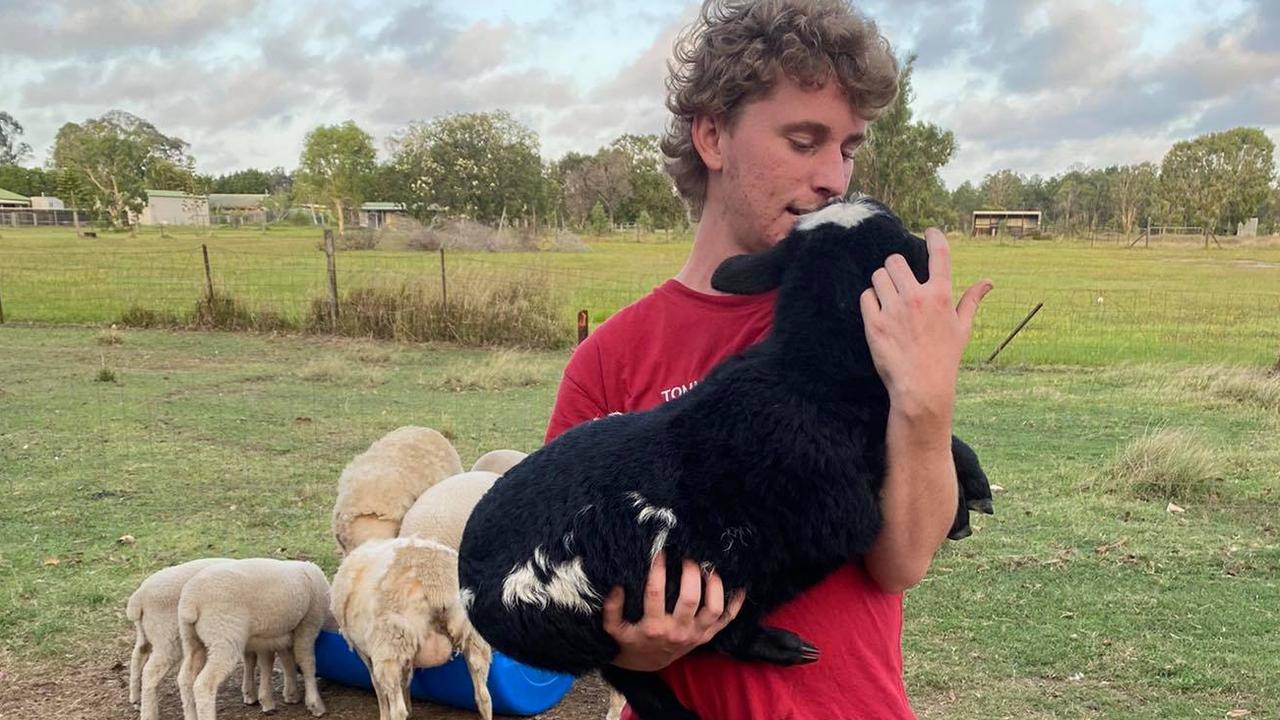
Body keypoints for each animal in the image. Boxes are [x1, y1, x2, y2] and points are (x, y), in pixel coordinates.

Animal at [179, 556, 330, 717]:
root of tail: (191, 602)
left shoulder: (277, 634)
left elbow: (283, 661)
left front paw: (290, 694)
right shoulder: (308, 623)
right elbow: (306, 661)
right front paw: (315, 704)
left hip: (191, 638)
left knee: (185, 678)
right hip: (224, 636)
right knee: (204, 684)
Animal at [327, 535, 491, 717]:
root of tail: (434, 582)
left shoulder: (364, 651)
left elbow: (377, 685)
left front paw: (384, 714)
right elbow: (405, 680)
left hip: (391, 644)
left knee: (398, 710)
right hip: (473, 637)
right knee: (483, 696)